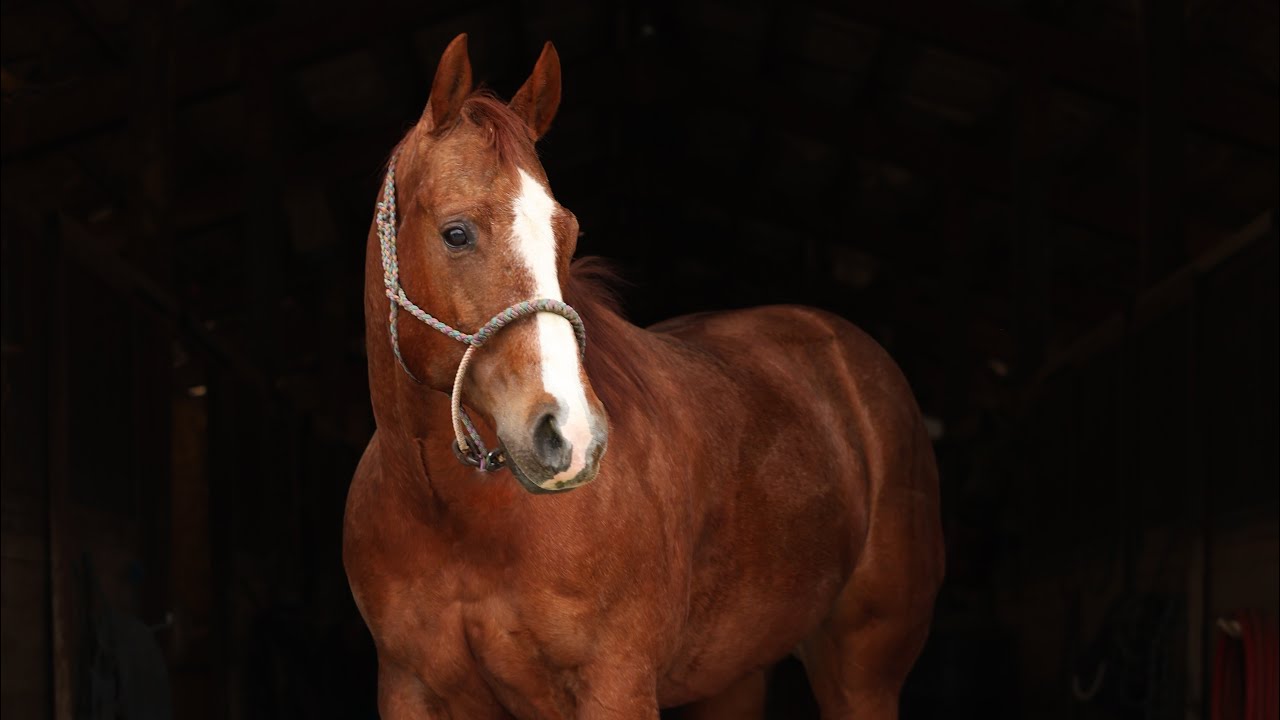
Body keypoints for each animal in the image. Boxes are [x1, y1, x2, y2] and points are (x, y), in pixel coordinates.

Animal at [343, 34, 945, 719]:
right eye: (456, 233)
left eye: (568, 234)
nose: (571, 436)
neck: (449, 516)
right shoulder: (408, 687)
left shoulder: (617, 683)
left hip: (862, 673)